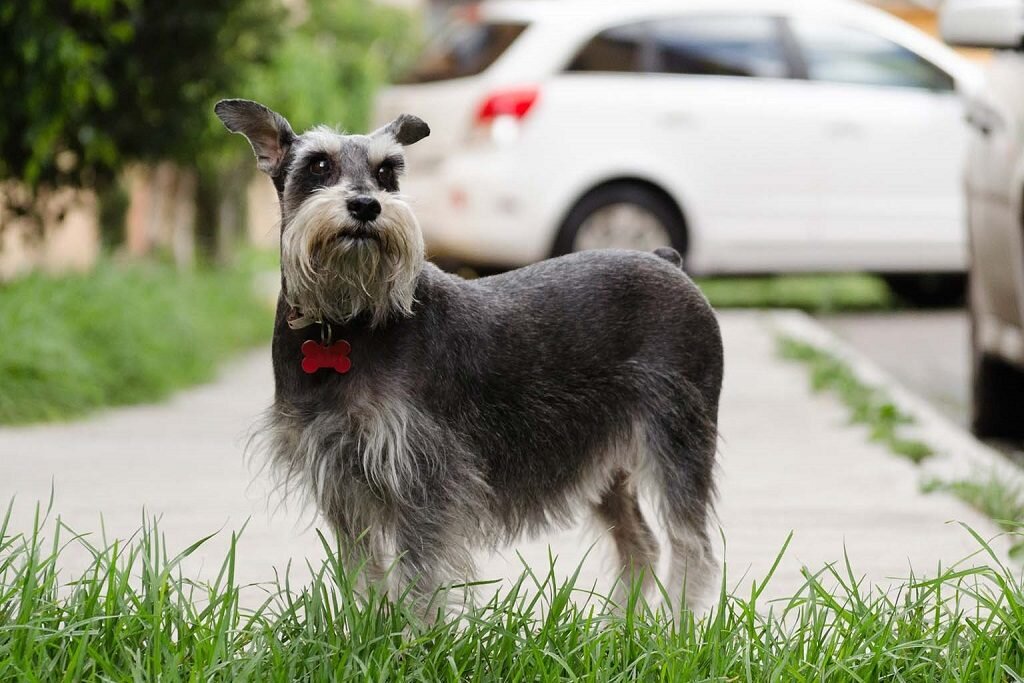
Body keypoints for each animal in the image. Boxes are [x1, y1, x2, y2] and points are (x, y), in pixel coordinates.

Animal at [218, 97, 720, 614]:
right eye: (319, 165)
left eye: (387, 173)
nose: (365, 205)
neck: (343, 320)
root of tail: (665, 259)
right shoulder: (342, 480)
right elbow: (364, 575)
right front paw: (368, 627)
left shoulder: (423, 477)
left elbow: (419, 579)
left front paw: (412, 633)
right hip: (607, 463)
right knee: (639, 543)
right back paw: (622, 630)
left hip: (678, 439)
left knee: (691, 546)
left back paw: (676, 629)